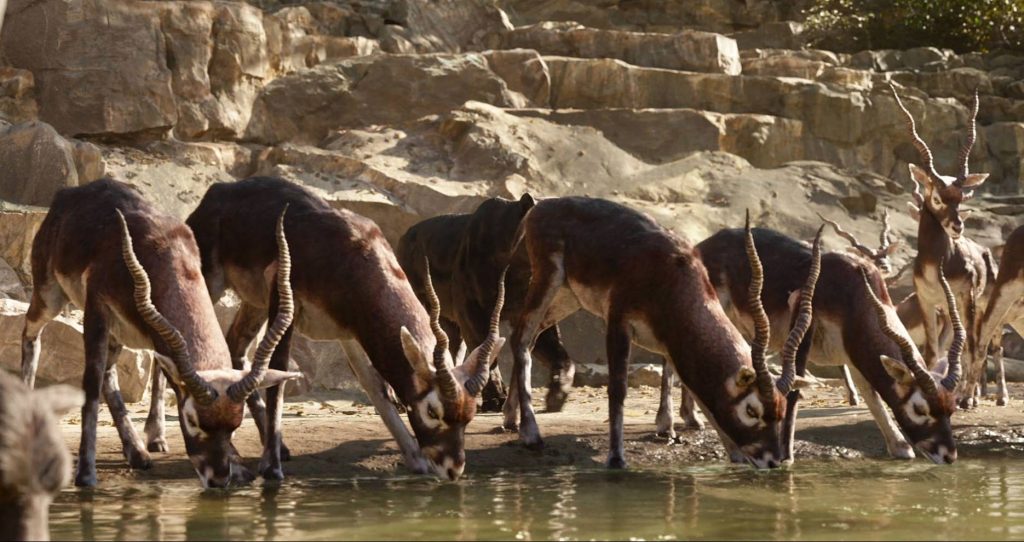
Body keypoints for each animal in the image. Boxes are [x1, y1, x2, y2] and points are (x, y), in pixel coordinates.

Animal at [20, 179, 296, 487]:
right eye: (191, 419)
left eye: (234, 426)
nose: (217, 479)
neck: (162, 250)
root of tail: (69, 194)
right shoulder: (97, 309)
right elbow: (90, 386)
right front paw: (86, 474)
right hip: (49, 297)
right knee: (31, 332)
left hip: (119, 334)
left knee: (111, 372)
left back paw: (138, 451)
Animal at [188, 176, 507, 477]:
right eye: (433, 410)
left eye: (469, 414)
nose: (453, 468)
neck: (348, 254)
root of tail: (219, 190)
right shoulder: (284, 301)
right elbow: (278, 373)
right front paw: (271, 467)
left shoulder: (351, 332)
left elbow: (375, 387)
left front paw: (416, 460)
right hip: (211, 284)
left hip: (254, 304)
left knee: (236, 347)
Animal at [503, 197, 815, 465]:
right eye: (752, 410)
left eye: (781, 411)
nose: (773, 460)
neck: (670, 275)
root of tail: (542, 205)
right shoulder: (618, 322)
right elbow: (619, 388)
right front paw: (616, 458)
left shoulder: (673, 343)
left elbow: (687, 384)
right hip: (548, 281)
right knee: (521, 337)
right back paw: (530, 433)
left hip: (567, 298)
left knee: (529, 338)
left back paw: (510, 418)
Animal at [692, 226, 962, 463]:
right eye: (920, 409)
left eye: (951, 408)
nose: (948, 455)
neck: (853, 292)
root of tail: (703, 245)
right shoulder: (803, 323)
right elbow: (795, 391)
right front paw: (786, 456)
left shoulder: (853, 353)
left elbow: (871, 394)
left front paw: (901, 447)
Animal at [888, 84, 991, 407]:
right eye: (936, 197)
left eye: (961, 198)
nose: (957, 227)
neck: (937, 264)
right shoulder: (927, 300)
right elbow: (933, 352)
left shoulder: (966, 298)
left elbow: (968, 347)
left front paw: (966, 398)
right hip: (946, 313)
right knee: (950, 346)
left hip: (974, 307)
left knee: (977, 346)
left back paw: (970, 395)